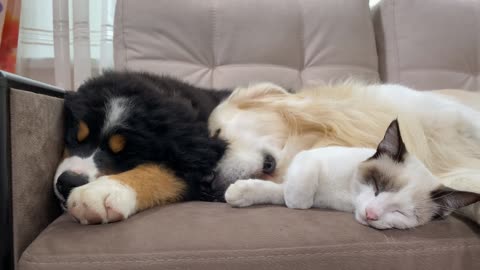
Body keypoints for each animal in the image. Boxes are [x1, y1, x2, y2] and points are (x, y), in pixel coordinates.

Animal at [226, 119, 480, 229]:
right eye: (377, 187)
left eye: (400, 212)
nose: (371, 215)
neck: (348, 197)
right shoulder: (308, 158)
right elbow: (297, 194)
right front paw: (237, 192)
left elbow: (289, 197)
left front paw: (240, 193)